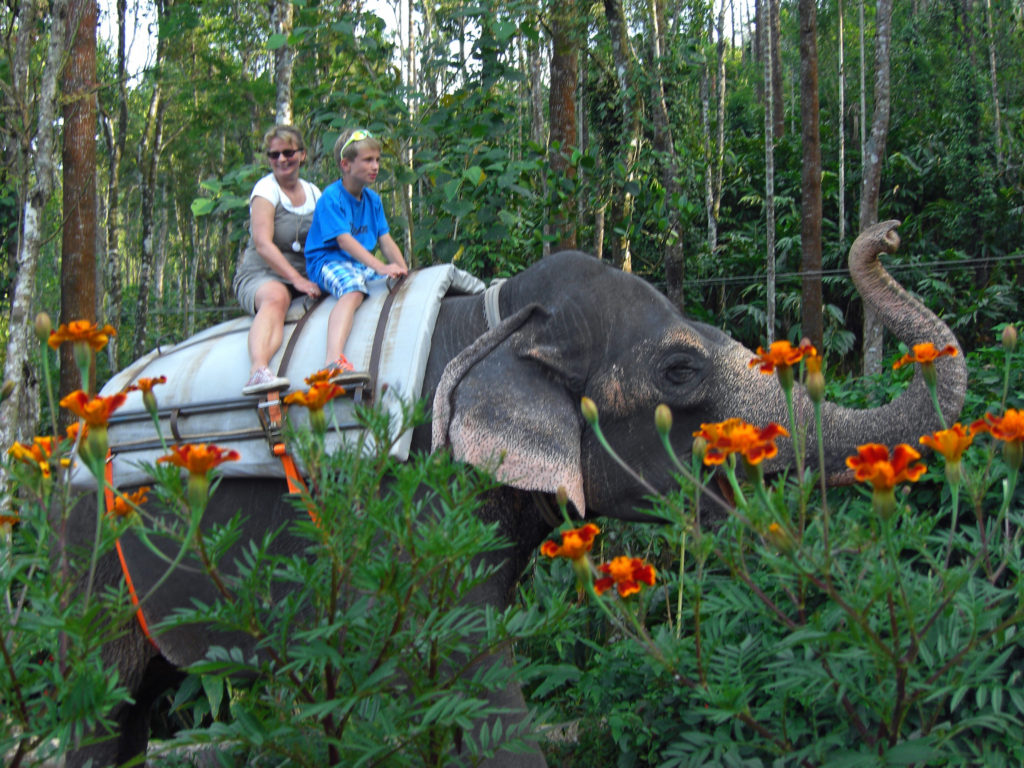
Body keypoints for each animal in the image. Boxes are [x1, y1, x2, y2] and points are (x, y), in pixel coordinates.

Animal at [65, 220, 966, 767]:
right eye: (680, 371)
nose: (883, 236)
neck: (499, 321)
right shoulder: (415, 498)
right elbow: (473, 679)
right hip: (88, 548)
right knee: (104, 700)